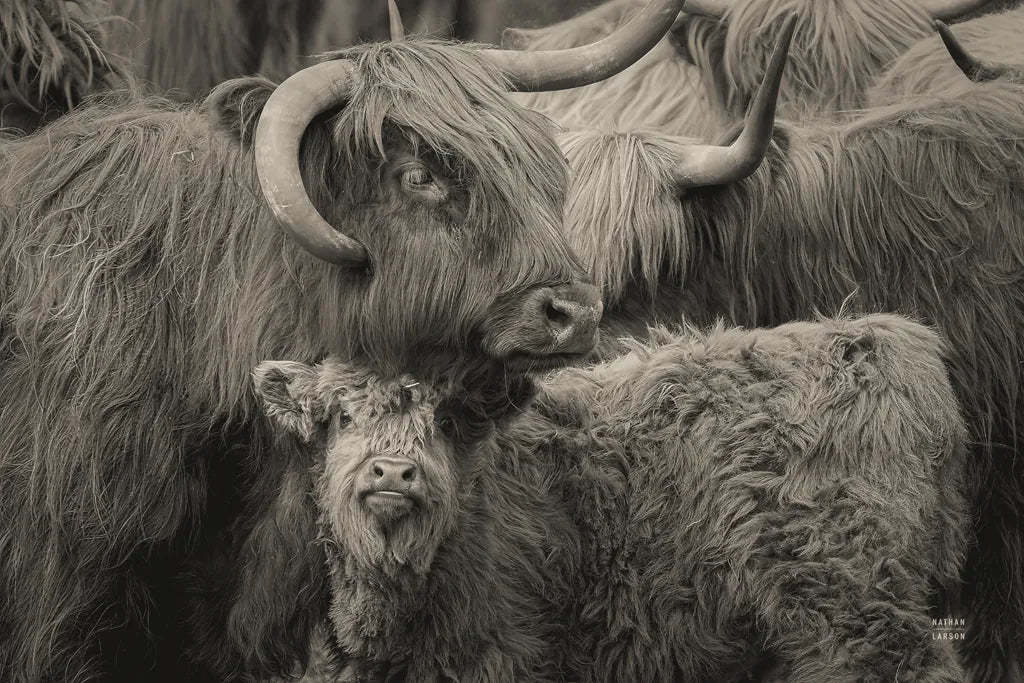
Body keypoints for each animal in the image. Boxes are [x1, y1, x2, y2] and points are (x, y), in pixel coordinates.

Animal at [253, 312, 969, 682]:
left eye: (449, 421)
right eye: (343, 416)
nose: (394, 473)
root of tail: (877, 340)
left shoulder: (507, 654)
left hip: (856, 602)